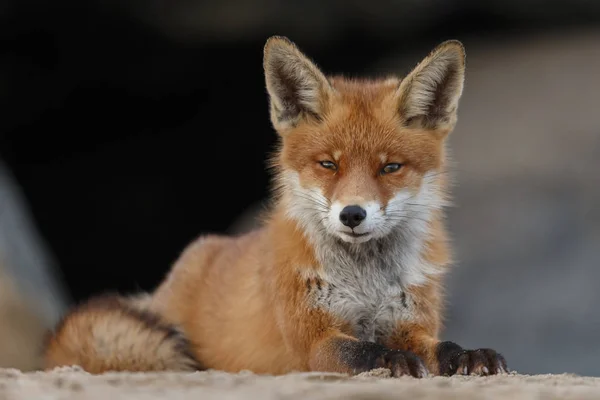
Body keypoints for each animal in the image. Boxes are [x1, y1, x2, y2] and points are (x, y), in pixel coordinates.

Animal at [44, 35, 508, 378]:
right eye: (328, 164)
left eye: (390, 167)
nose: (352, 215)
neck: (365, 282)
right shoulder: (313, 342)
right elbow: (363, 352)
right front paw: (391, 360)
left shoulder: (411, 324)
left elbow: (442, 346)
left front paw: (469, 355)